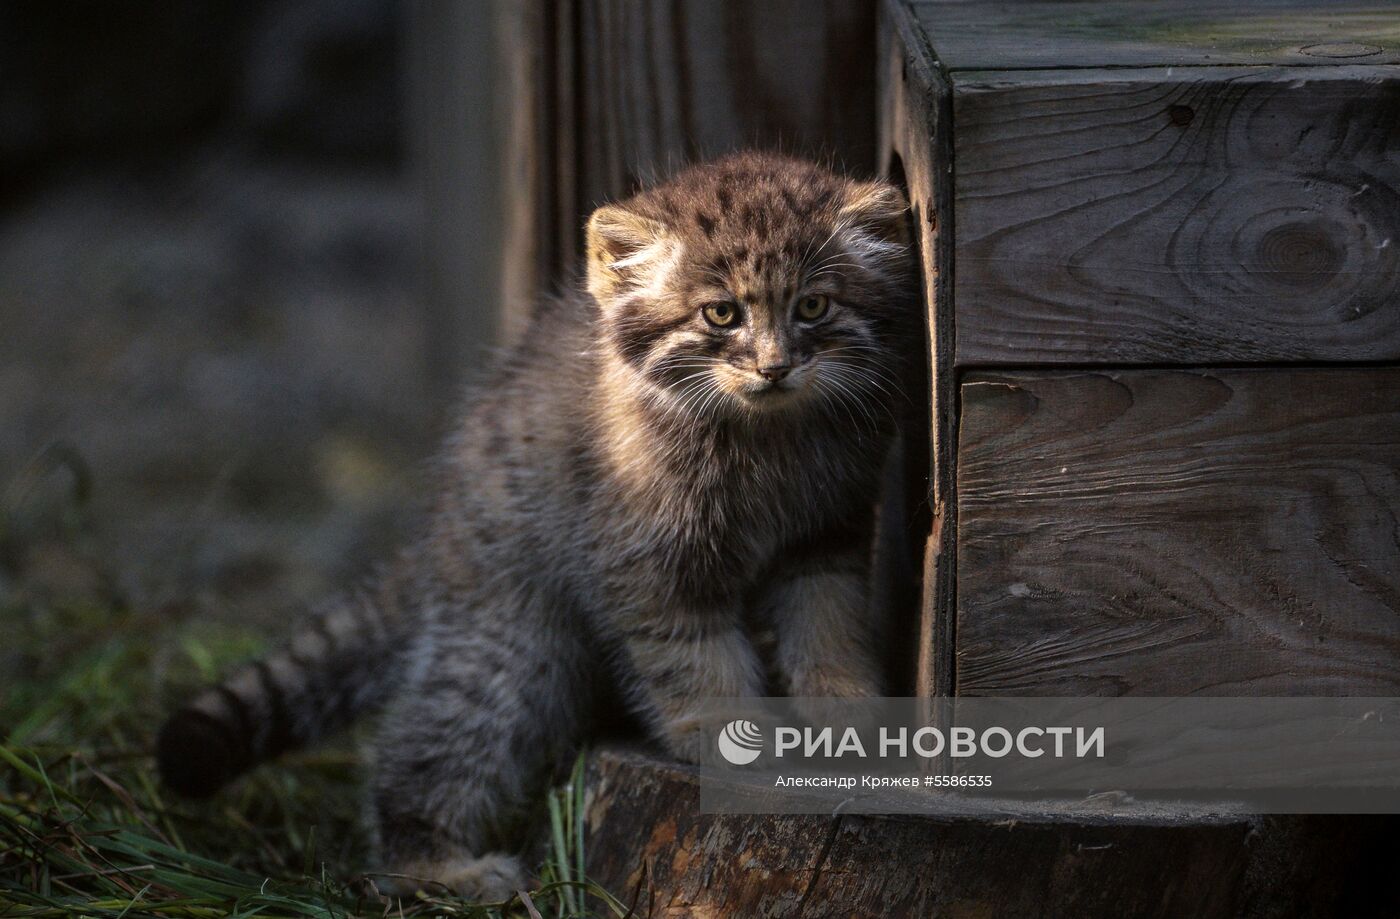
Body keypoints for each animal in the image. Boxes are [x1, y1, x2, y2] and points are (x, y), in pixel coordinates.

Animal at [158, 150, 918, 896]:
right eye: (721, 314)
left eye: (814, 305)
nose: (775, 366)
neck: (766, 439)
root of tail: (440, 527)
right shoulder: (645, 557)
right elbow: (688, 652)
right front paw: (724, 729)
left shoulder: (827, 533)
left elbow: (829, 621)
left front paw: (848, 711)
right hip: (509, 639)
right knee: (430, 745)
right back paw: (437, 867)